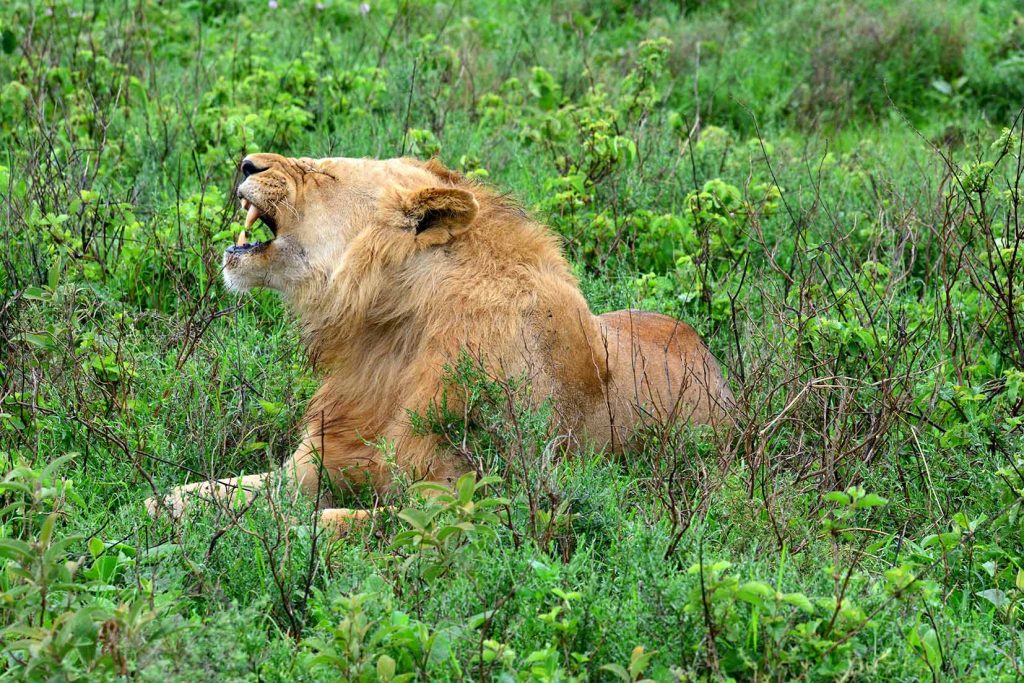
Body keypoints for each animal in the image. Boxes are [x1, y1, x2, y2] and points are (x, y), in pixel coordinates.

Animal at [146, 153, 733, 528]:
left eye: (321, 171)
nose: (247, 163)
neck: (388, 335)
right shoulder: (314, 464)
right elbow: (226, 491)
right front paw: (164, 505)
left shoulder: (483, 499)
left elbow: (347, 523)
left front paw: (282, 531)